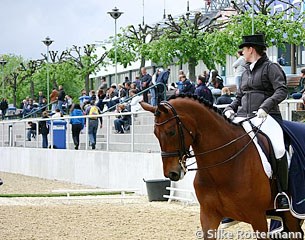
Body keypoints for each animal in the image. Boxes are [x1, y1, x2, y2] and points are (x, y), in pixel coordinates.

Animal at [139, 95, 302, 240]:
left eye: (171, 132)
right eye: (155, 134)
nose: (171, 173)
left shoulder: (257, 217)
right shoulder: (208, 214)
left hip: (291, 213)